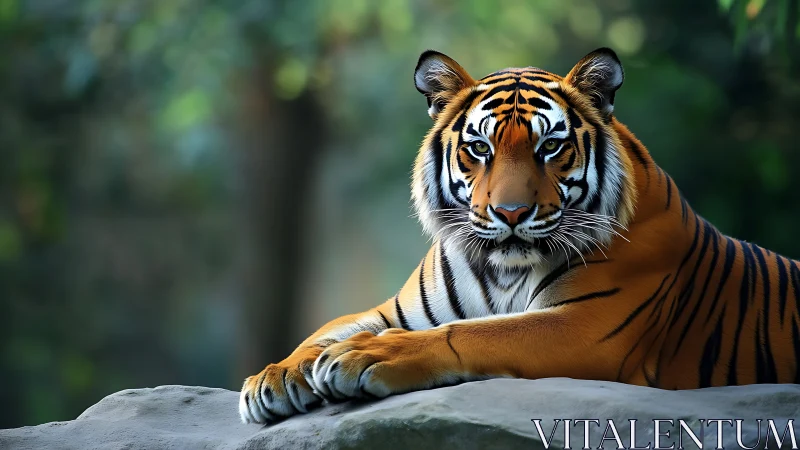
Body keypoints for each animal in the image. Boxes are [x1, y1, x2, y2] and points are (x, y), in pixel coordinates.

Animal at [239, 47, 800, 424]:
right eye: (480, 148)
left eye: (550, 146)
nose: (510, 212)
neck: (503, 271)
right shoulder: (398, 310)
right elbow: (331, 326)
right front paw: (276, 376)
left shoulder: (589, 325)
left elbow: (475, 333)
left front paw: (368, 357)